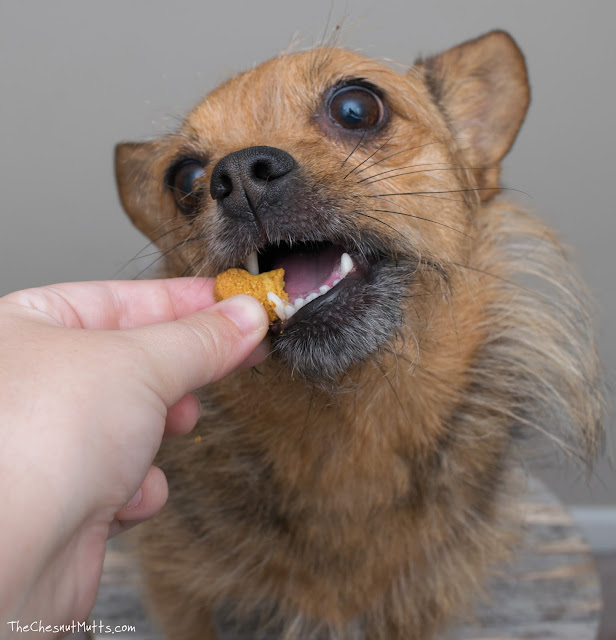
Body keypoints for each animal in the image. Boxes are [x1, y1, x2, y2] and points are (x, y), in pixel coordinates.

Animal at [113, 30, 604, 640]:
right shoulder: (181, 593)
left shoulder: (418, 603)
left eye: (356, 109)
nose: (240, 172)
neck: (349, 434)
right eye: (182, 180)